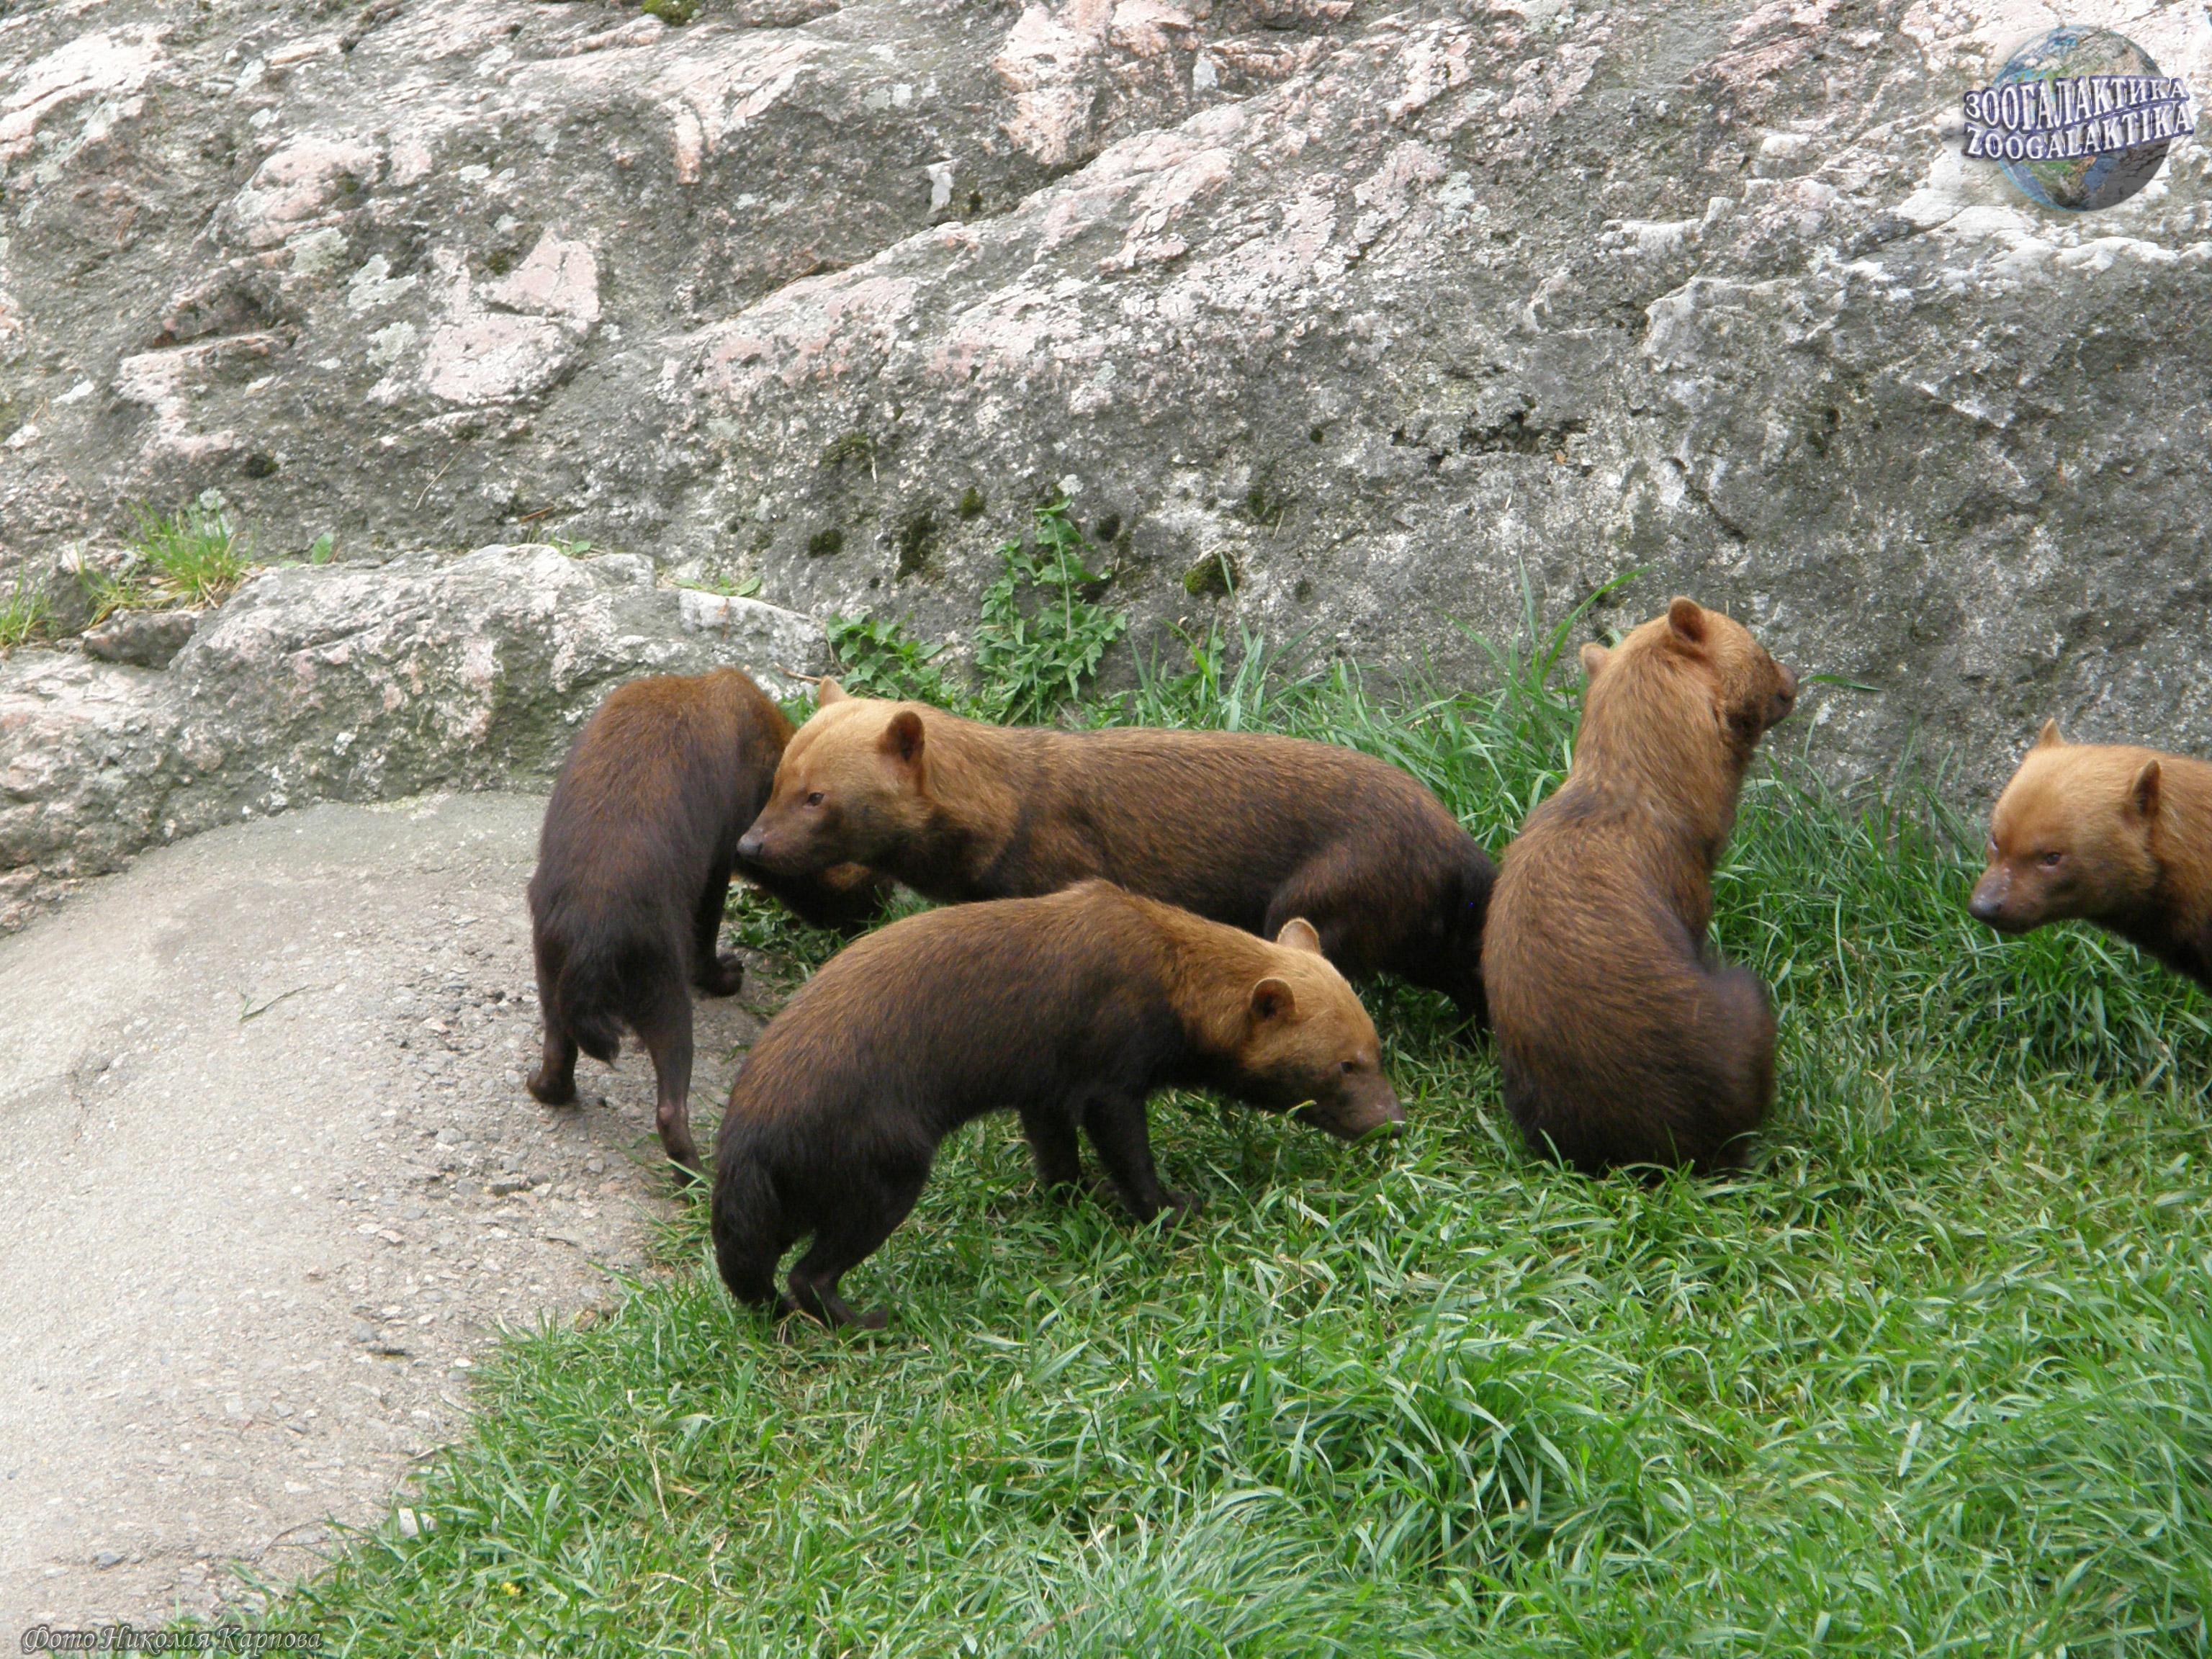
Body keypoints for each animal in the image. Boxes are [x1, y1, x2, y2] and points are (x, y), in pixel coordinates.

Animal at [527, 667, 888, 1179]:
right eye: (873, 883)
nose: (885, 913)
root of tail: (593, 937)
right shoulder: (721, 854)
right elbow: (708, 934)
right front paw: (725, 975)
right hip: (664, 994)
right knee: (671, 1110)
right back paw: (696, 1173)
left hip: (549, 971)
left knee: (558, 1054)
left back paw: (541, 1087)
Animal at [710, 880, 1403, 1329]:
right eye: (1345, 1064)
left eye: (1377, 1044)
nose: (1393, 1124)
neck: (1172, 972)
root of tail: (744, 1140)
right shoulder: (1108, 1083)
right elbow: (1131, 1164)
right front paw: (1175, 1209)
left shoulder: (1043, 1090)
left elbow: (1057, 1163)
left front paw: (1072, 1201)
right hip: (885, 1177)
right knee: (808, 1276)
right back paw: (870, 1321)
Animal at [733, 680, 1498, 1029]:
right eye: (775, 781)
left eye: (817, 797)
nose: (749, 843)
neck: (1007, 812)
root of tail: (1456, 842)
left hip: (1323, 893)